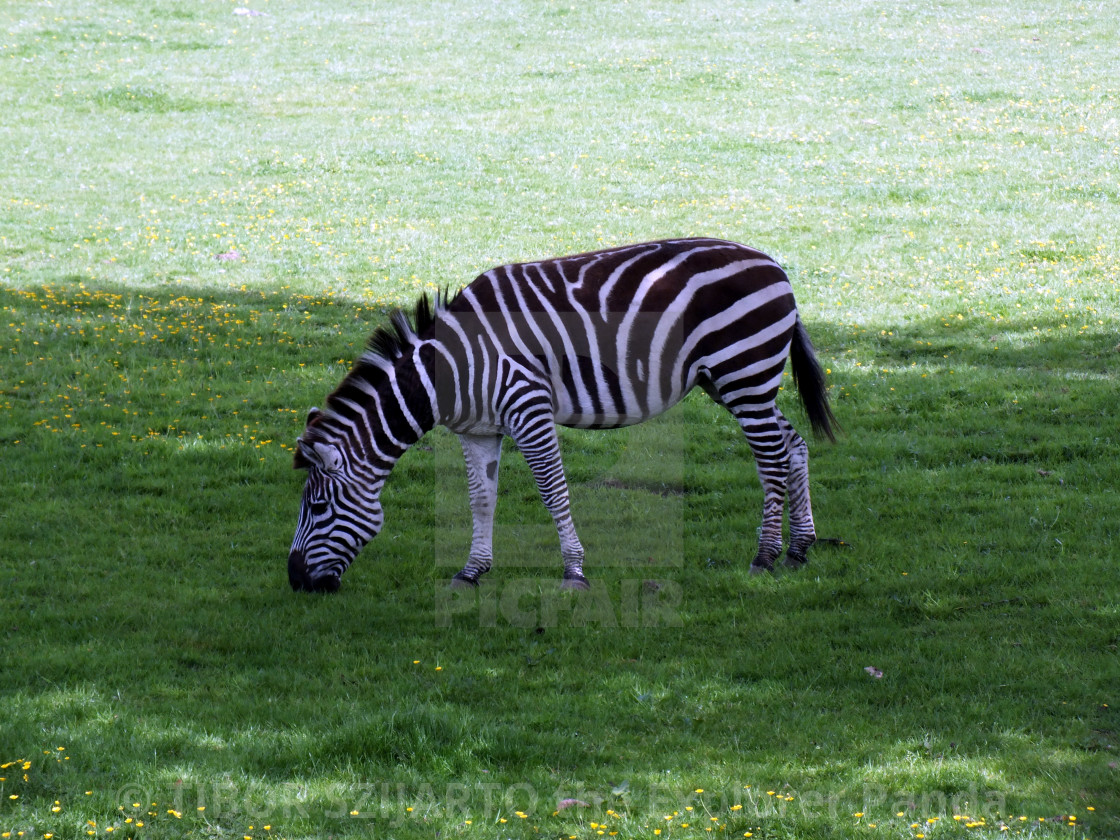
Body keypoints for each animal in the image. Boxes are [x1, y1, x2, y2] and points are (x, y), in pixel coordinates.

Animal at [293, 234, 837, 595]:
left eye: (317, 507)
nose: (295, 581)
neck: (448, 370)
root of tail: (773, 264)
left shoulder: (527, 407)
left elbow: (554, 492)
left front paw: (574, 572)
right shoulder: (477, 430)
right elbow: (481, 500)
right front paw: (472, 571)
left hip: (743, 374)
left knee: (771, 457)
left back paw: (764, 558)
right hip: (733, 382)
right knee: (793, 444)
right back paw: (799, 549)